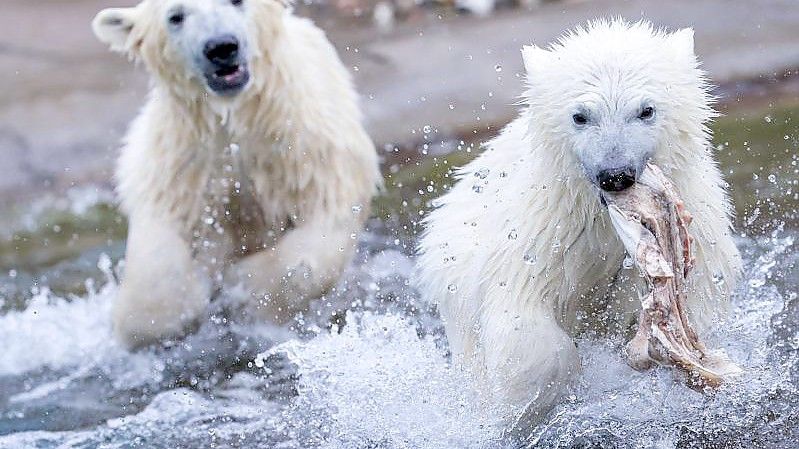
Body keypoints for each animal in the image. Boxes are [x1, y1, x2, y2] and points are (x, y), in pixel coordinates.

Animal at [93, 0, 382, 346]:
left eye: (237, 1)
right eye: (176, 16)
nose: (221, 47)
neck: (235, 115)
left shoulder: (306, 146)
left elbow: (321, 232)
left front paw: (251, 287)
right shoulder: (181, 163)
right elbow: (159, 254)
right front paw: (161, 315)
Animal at [418, 19, 744, 428]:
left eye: (646, 110)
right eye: (580, 115)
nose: (615, 174)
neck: (602, 215)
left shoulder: (697, 222)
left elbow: (697, 297)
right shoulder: (544, 230)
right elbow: (523, 318)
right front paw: (522, 408)